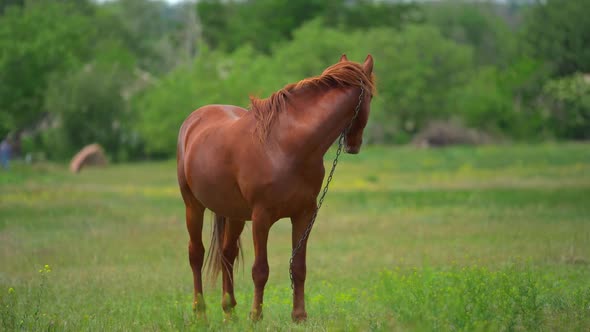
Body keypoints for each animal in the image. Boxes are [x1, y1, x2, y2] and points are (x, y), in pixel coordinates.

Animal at [178, 54, 376, 322]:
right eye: (371, 97)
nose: (354, 145)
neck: (286, 146)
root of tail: (194, 120)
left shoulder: (304, 215)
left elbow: (299, 267)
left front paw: (299, 316)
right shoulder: (261, 217)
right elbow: (260, 269)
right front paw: (255, 316)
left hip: (233, 214)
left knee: (226, 255)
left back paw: (230, 313)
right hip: (193, 206)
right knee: (196, 254)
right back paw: (200, 313)